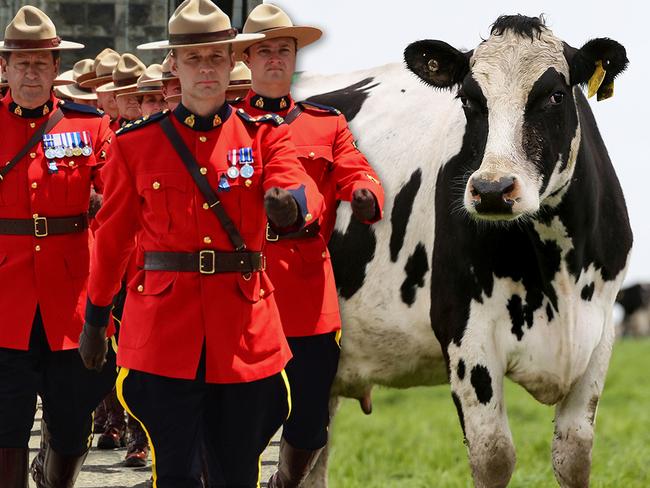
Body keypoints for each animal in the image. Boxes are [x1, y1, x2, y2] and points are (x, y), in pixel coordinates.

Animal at [292, 13, 632, 486]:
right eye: (470, 100)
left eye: (555, 95)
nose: (491, 190)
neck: (559, 272)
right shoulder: (467, 333)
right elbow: (493, 456)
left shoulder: (599, 336)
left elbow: (575, 457)